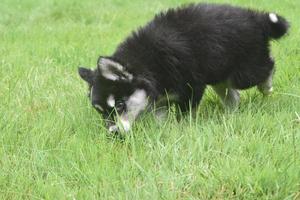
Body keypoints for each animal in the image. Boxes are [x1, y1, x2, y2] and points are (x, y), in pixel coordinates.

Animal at [77, 3, 288, 132]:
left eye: (120, 105)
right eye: (101, 112)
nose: (113, 132)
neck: (149, 64)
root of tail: (256, 18)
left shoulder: (191, 87)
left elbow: (185, 114)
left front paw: (182, 128)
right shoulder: (160, 102)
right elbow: (160, 118)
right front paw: (161, 131)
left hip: (243, 74)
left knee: (269, 66)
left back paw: (266, 87)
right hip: (219, 74)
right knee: (233, 96)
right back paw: (229, 115)